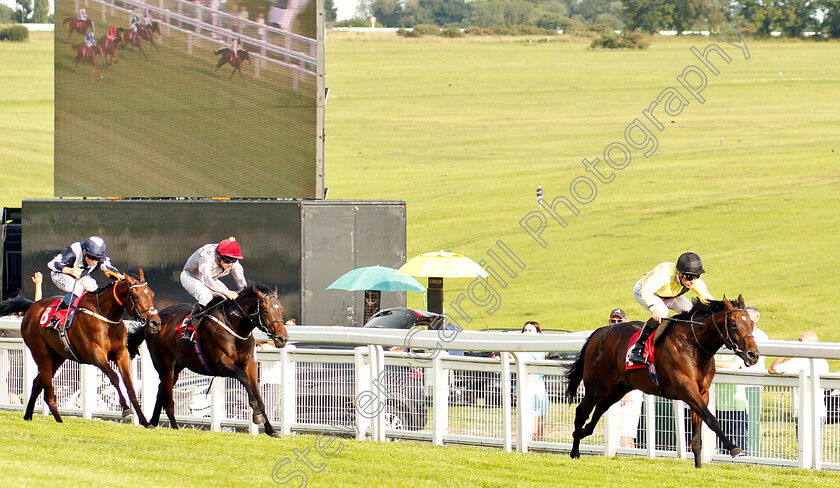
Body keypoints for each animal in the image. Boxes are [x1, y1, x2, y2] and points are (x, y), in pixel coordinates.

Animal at [0, 268, 161, 426]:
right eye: (136, 296)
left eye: (152, 294)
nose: (155, 322)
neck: (105, 317)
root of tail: (32, 307)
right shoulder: (95, 355)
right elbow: (114, 377)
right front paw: (126, 409)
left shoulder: (121, 354)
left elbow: (129, 384)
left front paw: (144, 421)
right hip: (41, 353)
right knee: (46, 389)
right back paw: (58, 419)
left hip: (57, 357)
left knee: (37, 383)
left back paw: (28, 415)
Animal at [128, 282, 288, 438]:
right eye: (266, 311)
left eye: (281, 309)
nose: (283, 338)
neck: (234, 326)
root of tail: (154, 320)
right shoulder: (220, 364)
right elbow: (243, 378)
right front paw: (257, 415)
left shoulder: (250, 365)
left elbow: (259, 396)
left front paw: (271, 429)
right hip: (164, 363)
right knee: (168, 396)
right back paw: (174, 426)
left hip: (177, 367)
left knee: (162, 389)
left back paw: (153, 421)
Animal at [568, 296, 756, 468]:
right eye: (733, 324)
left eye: (751, 323)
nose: (753, 354)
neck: (693, 346)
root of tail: (600, 331)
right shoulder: (686, 389)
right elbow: (712, 419)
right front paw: (733, 448)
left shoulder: (703, 393)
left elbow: (699, 432)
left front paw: (698, 466)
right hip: (597, 387)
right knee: (581, 412)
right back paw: (575, 449)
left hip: (619, 387)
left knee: (601, 408)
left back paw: (584, 432)